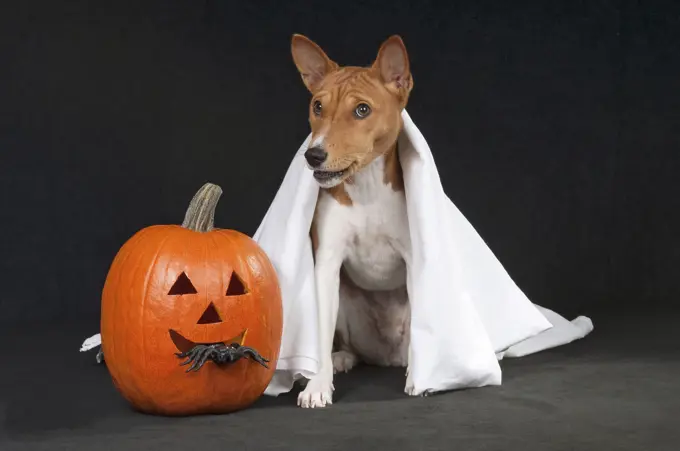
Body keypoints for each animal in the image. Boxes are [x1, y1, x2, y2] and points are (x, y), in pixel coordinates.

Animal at [290, 34, 418, 410]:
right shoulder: (327, 264)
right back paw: (342, 359)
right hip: (344, 303)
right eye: (317, 106)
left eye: (362, 110)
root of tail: (388, 356)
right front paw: (317, 386)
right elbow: (319, 333)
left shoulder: (415, 259)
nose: (313, 155)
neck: (367, 191)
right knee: (349, 346)